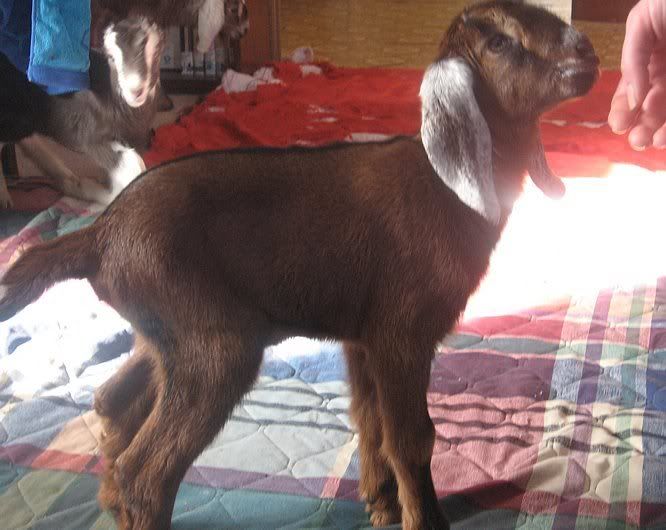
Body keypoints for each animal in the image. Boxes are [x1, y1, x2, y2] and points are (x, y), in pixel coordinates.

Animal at [0, 17, 164, 207]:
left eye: (154, 53)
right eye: (111, 58)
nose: (135, 90)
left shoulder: (136, 139)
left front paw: (80, 187)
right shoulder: (88, 134)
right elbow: (132, 168)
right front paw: (93, 190)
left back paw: (63, 175)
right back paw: (5, 197)